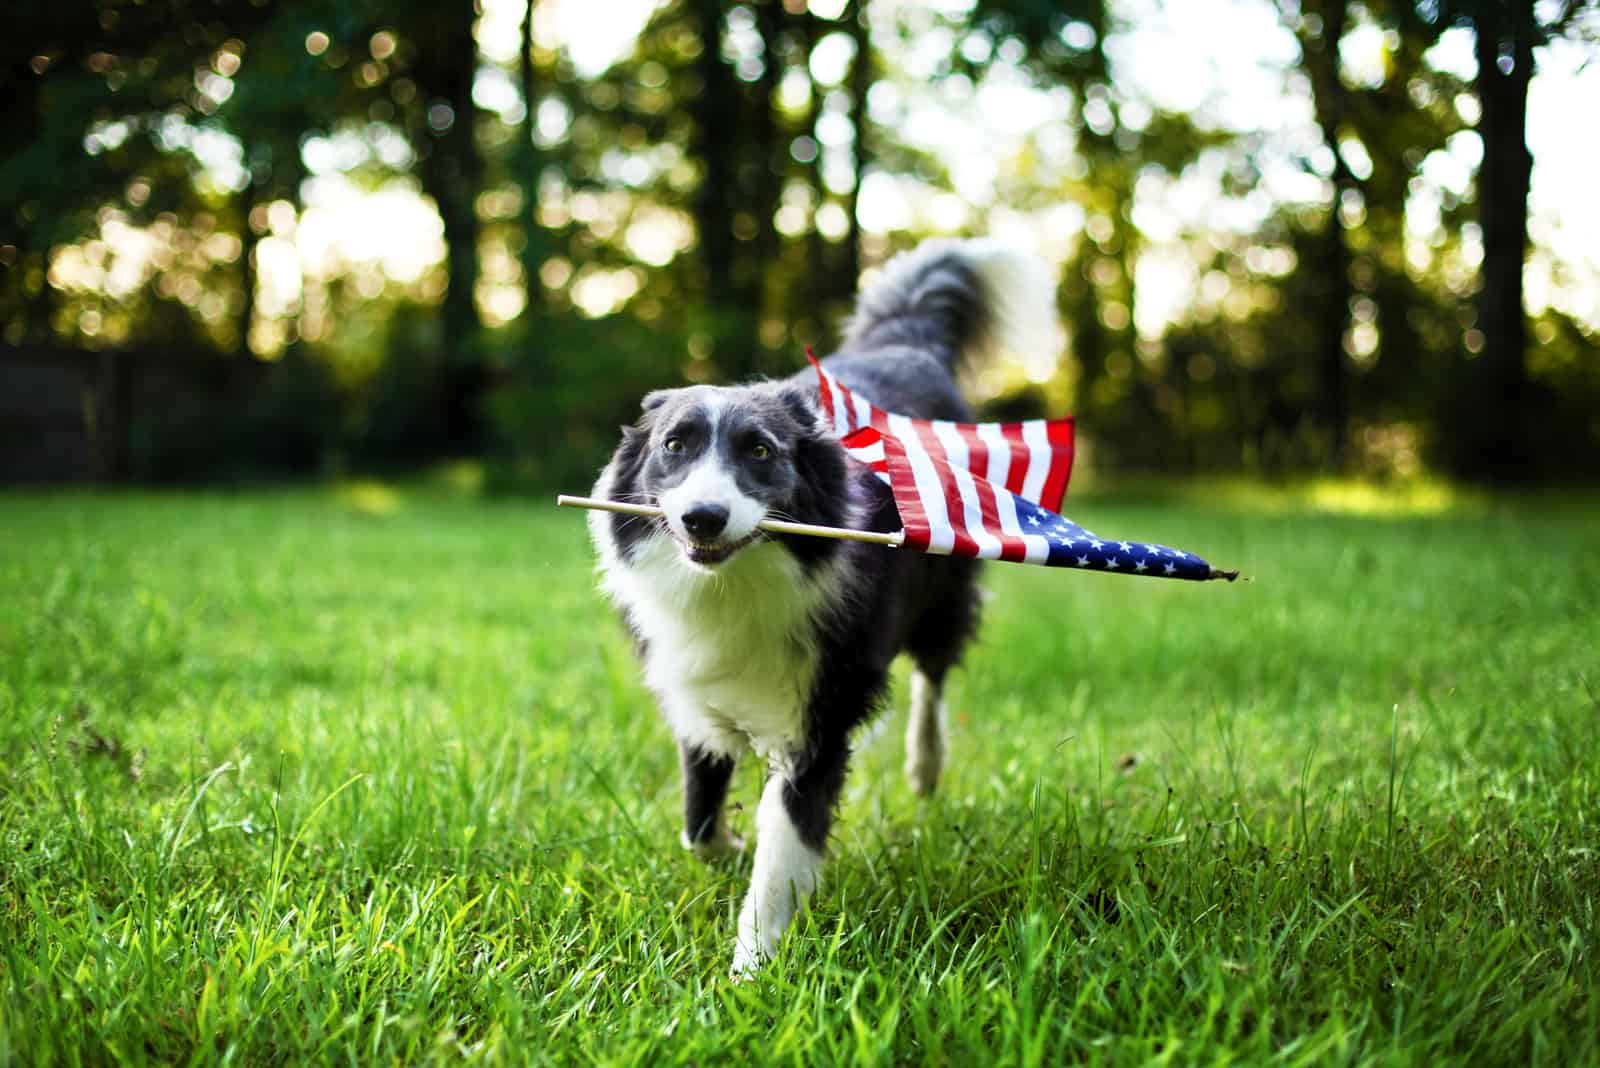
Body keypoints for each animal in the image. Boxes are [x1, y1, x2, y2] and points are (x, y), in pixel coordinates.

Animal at [588, 238, 1062, 972]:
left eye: (760, 450)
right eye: (675, 445)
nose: (702, 518)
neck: (737, 581)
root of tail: (904, 343)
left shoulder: (820, 710)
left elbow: (784, 847)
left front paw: (750, 972)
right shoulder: (692, 684)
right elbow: (698, 818)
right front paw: (727, 849)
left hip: (945, 587)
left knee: (933, 673)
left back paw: (925, 766)